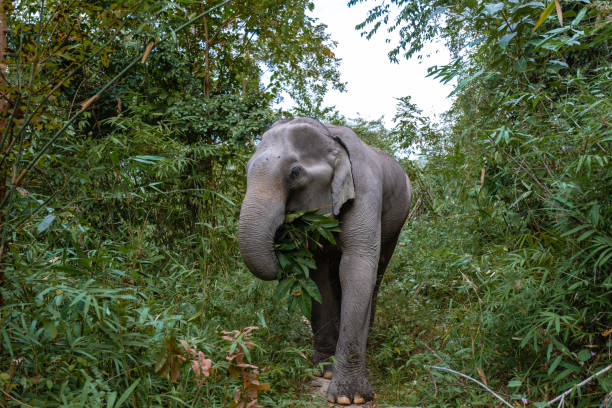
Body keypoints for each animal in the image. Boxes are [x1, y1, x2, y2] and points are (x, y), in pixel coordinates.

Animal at [238, 116, 412, 404]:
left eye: (295, 172)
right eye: (246, 168)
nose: (283, 238)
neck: (329, 137)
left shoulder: (365, 191)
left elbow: (357, 267)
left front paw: (349, 397)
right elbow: (318, 275)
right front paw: (324, 371)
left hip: (398, 219)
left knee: (377, 271)